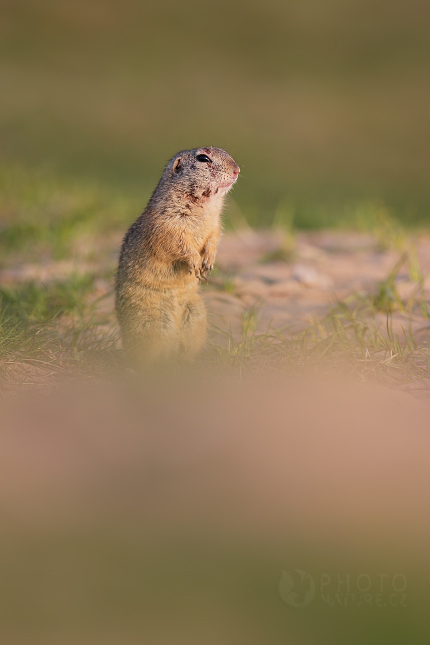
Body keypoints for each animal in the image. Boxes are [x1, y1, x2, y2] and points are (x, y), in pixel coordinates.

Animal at [116, 148, 240, 364]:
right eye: (203, 158)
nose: (237, 170)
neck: (204, 206)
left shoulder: (215, 225)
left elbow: (213, 239)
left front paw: (208, 263)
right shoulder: (167, 226)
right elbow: (179, 245)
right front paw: (195, 264)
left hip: (196, 313)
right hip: (153, 323)